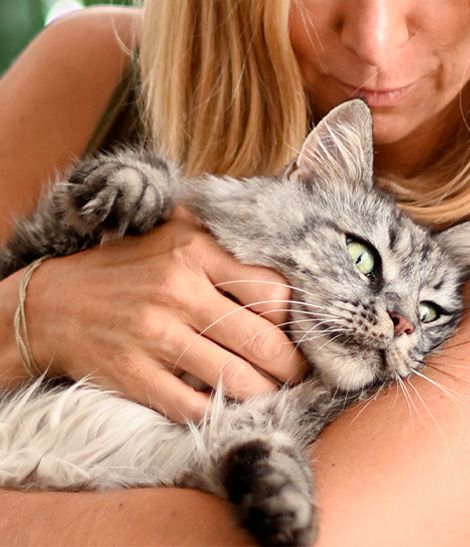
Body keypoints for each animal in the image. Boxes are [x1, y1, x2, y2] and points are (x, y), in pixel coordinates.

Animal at [0, 99, 468, 547]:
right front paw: (134, 189)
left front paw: (289, 514)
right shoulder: (26, 248)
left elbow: (260, 452)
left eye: (428, 312)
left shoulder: (184, 452)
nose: (404, 324)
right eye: (361, 256)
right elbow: (123, 186)